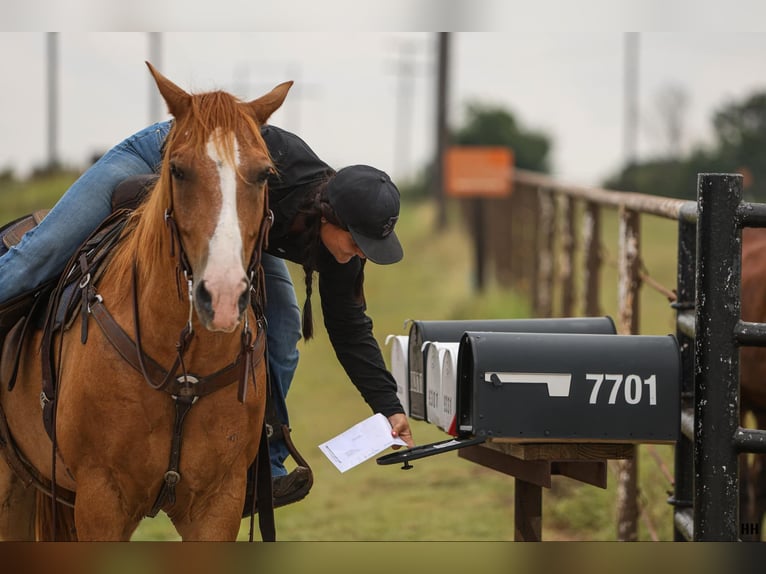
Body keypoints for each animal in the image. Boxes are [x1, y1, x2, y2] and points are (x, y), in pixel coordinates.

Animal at [0, 62, 292, 541]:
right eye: (177, 169)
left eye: (265, 173)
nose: (223, 294)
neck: (183, 373)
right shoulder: (102, 501)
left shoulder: (219, 503)